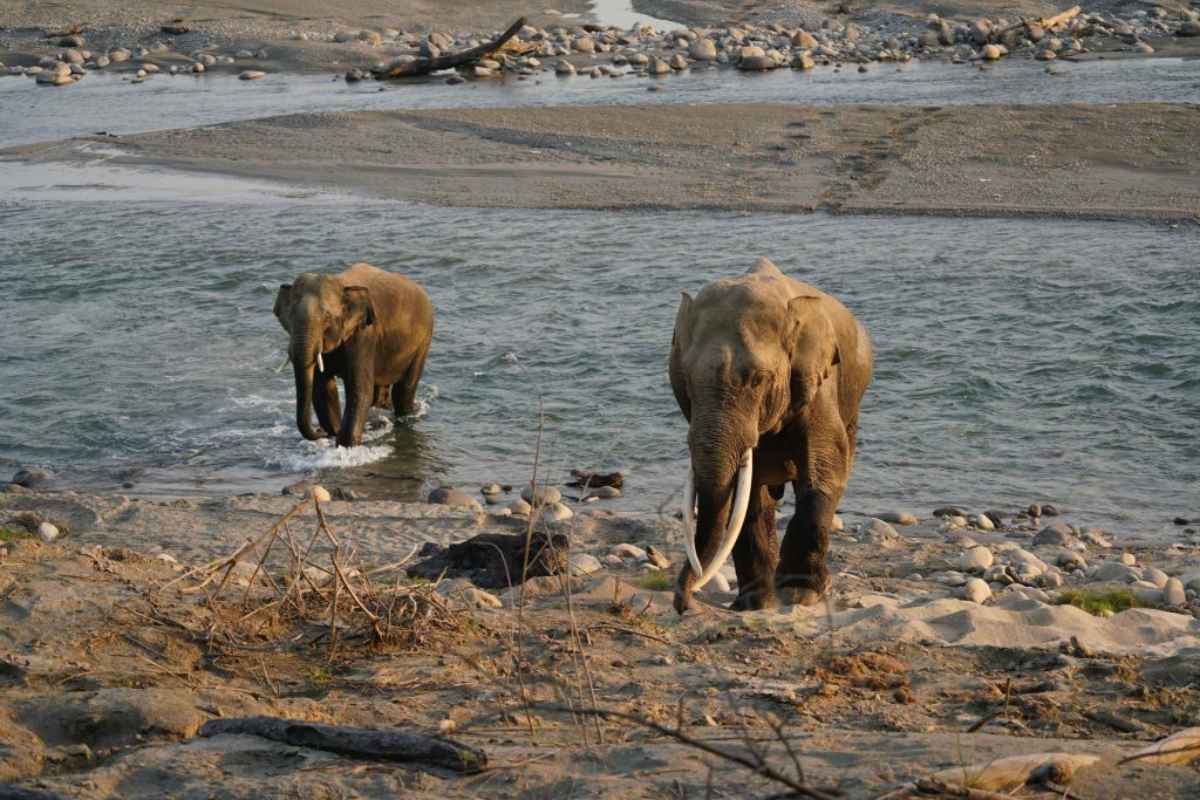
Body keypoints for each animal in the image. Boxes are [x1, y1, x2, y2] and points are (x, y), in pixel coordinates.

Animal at [274, 263, 434, 448]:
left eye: (327, 318)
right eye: (289, 316)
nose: (319, 432)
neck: (342, 284)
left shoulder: (364, 335)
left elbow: (359, 389)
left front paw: (346, 445)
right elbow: (322, 388)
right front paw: (334, 434)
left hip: (424, 340)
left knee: (405, 388)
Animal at [667, 256, 873, 614]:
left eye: (758, 379)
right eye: (688, 380)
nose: (683, 604)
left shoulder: (820, 383)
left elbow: (824, 470)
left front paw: (799, 595)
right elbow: (748, 495)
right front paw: (753, 605)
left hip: (853, 403)